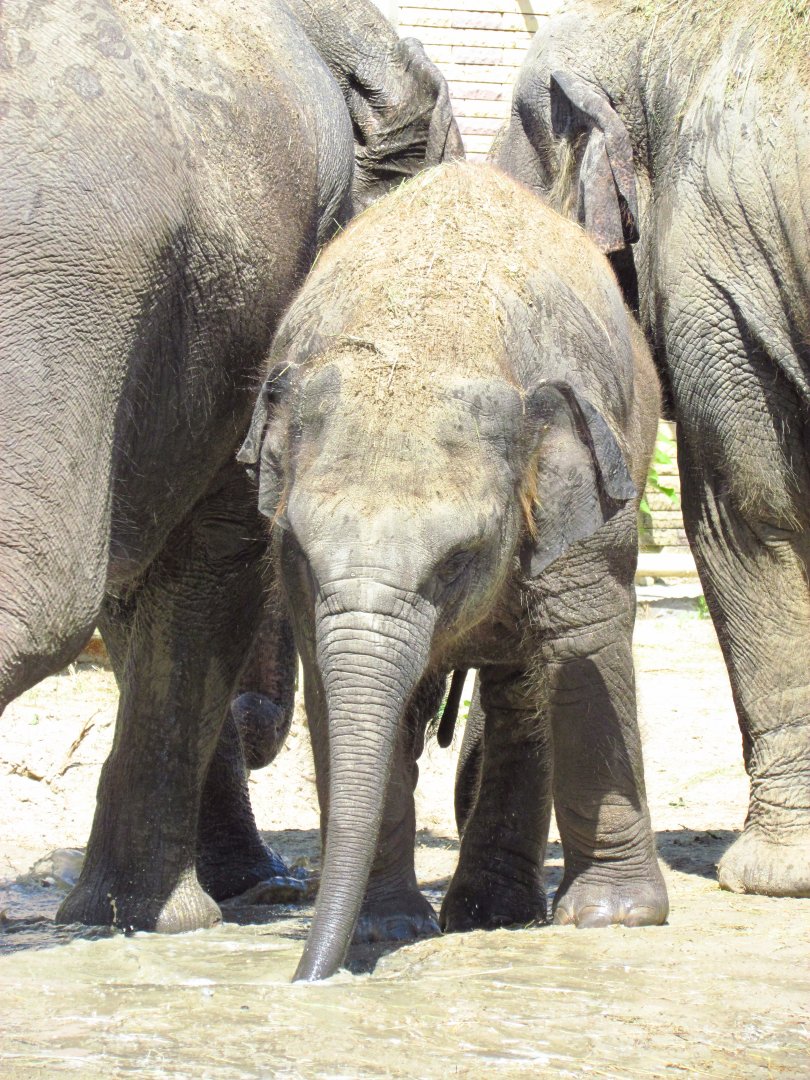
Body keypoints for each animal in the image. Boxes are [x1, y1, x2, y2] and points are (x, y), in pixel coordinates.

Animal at [240, 160, 666, 981]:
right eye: (301, 551)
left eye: (459, 560)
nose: (307, 979)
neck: (432, 336)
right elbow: (337, 690)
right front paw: (384, 929)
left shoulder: (591, 492)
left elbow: (583, 649)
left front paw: (617, 919)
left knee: (524, 689)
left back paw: (495, 914)